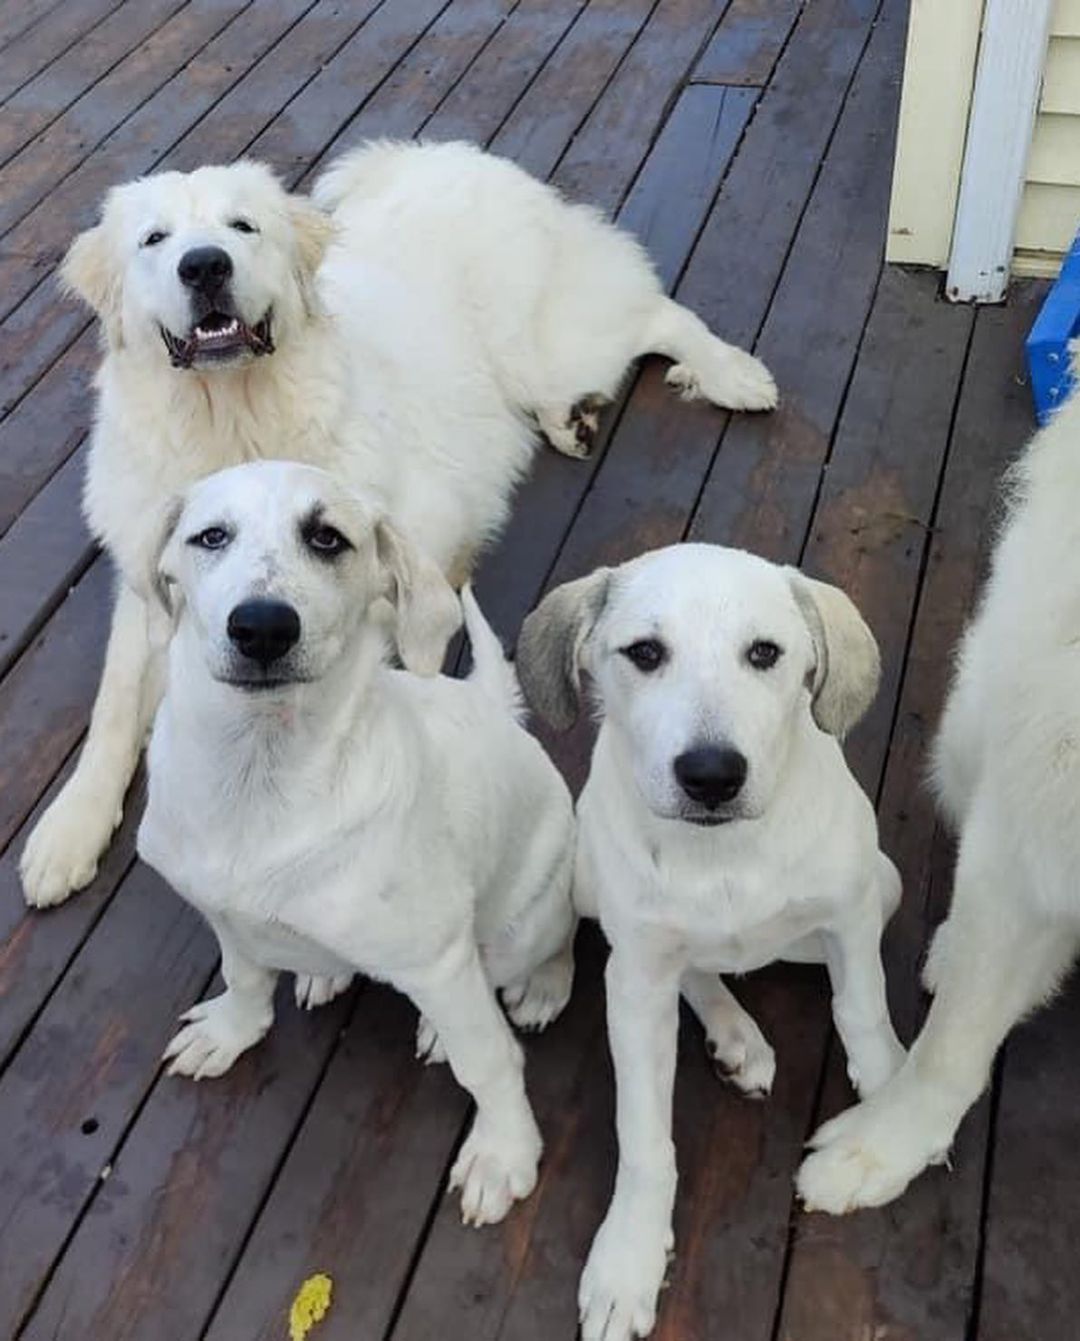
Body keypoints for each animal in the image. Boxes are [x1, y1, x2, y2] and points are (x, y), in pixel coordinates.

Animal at [18, 136, 772, 911]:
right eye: (155, 240)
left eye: (241, 227)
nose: (204, 265)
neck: (232, 418)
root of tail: (434, 153)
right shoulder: (148, 587)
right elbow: (113, 708)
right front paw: (69, 831)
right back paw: (574, 420)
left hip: (546, 348)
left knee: (652, 311)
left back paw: (732, 374)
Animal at [136, 463, 582, 1228]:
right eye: (210, 536)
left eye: (328, 539)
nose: (262, 627)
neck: (260, 782)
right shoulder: (223, 914)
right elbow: (244, 975)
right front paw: (231, 1031)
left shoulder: (437, 960)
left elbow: (490, 1061)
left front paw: (503, 1152)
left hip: (531, 912)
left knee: (550, 946)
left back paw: (535, 988)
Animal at [517, 544, 906, 1341]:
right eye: (644, 653)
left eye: (765, 653)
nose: (711, 775)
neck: (724, 854)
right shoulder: (635, 988)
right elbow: (643, 1137)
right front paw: (629, 1258)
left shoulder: (853, 908)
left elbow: (862, 1007)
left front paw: (887, 1106)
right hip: (591, 878)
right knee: (662, 956)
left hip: (882, 884)